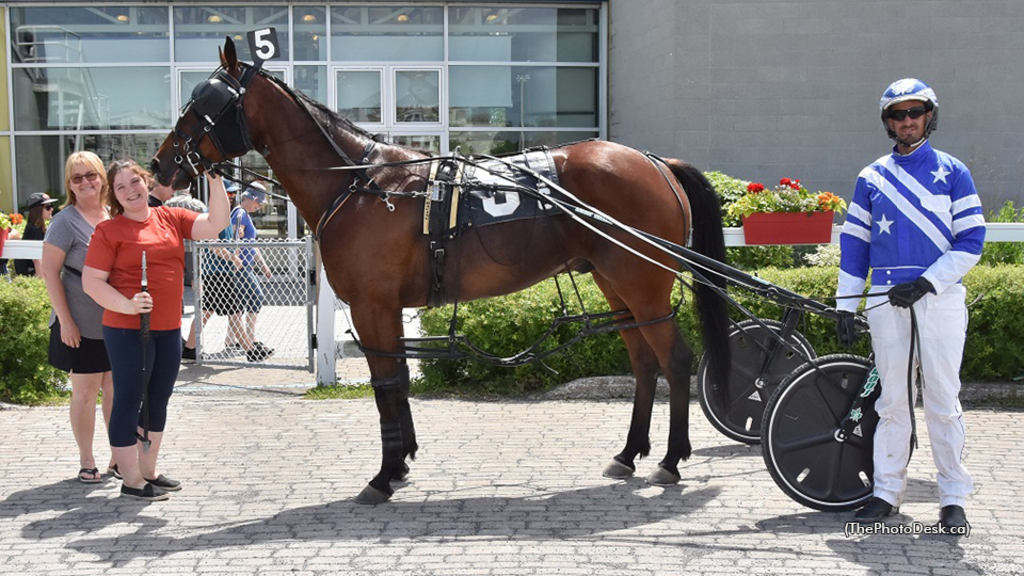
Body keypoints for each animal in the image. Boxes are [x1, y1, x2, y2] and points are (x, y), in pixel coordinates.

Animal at [149, 36, 729, 502]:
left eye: (205, 102)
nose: (160, 165)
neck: (362, 185)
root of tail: (654, 162)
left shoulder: (373, 306)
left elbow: (387, 384)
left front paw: (384, 475)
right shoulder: (383, 309)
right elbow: (399, 382)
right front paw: (402, 461)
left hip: (643, 285)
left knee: (676, 360)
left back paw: (671, 460)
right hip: (618, 287)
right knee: (644, 365)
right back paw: (628, 453)